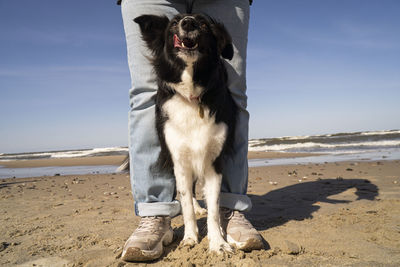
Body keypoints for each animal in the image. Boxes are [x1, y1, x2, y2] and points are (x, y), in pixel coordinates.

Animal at [134, 13, 238, 255]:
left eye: (204, 24)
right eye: (173, 23)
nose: (188, 23)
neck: (192, 96)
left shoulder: (213, 161)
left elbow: (214, 209)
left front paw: (218, 242)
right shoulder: (179, 160)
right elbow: (186, 206)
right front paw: (190, 238)